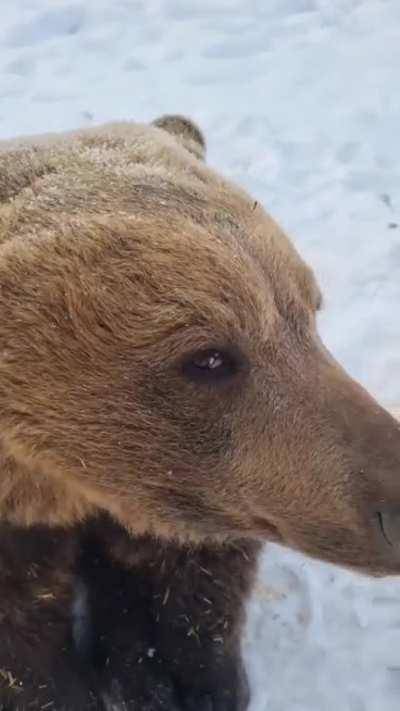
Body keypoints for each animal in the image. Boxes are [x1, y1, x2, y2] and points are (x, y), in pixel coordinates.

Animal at [0, 114, 400, 711]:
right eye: (209, 357)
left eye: (309, 310)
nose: (395, 504)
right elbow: (24, 651)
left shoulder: (202, 492)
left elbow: (191, 579)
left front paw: (178, 680)